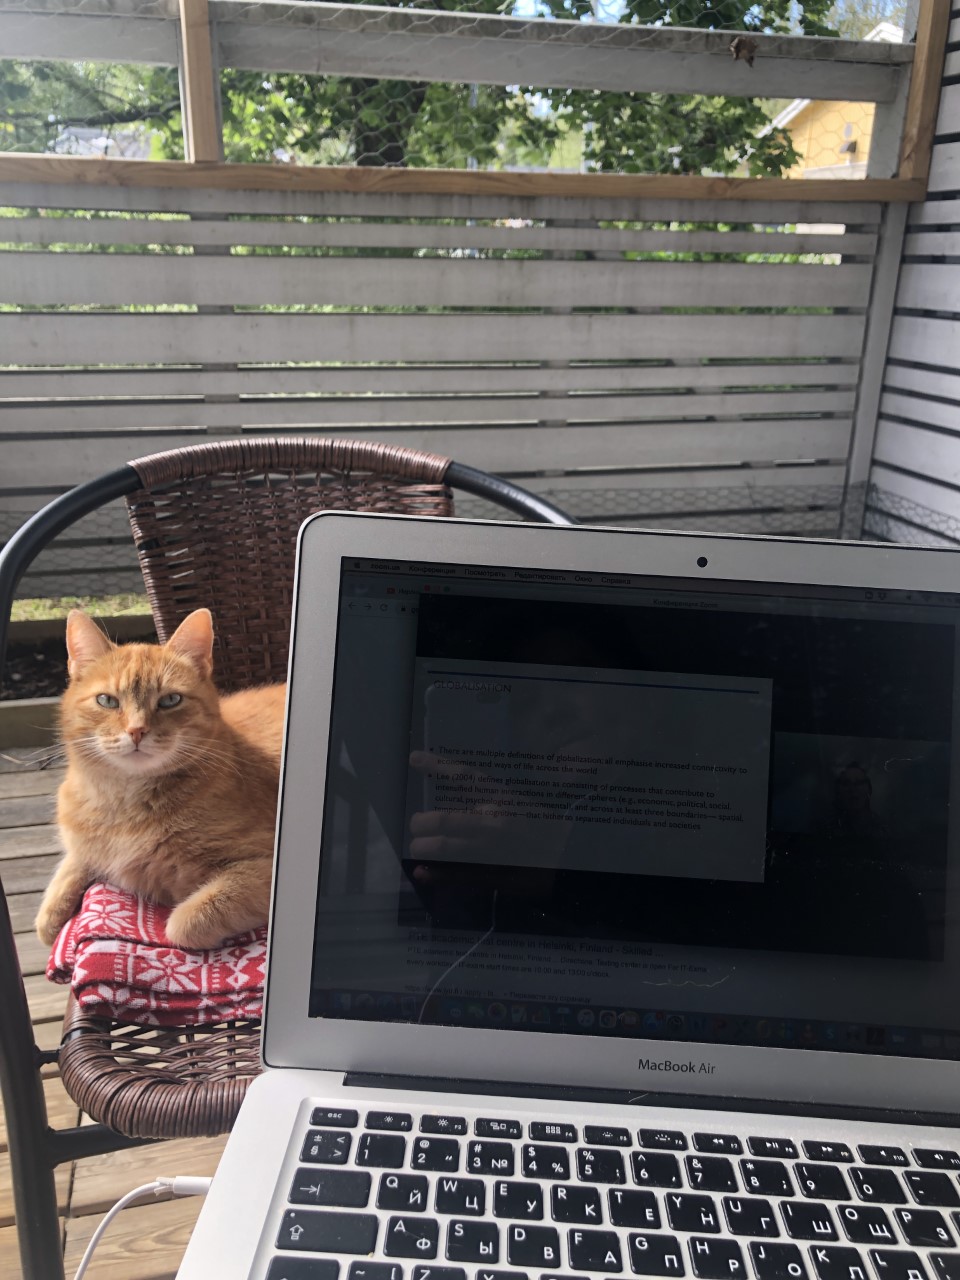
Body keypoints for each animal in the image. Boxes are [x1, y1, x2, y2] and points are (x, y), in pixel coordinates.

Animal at [34, 609, 289, 952]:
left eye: (170, 700)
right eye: (107, 701)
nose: (136, 730)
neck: (124, 803)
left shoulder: (262, 863)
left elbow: (183, 924)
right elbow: (72, 865)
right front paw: (52, 912)